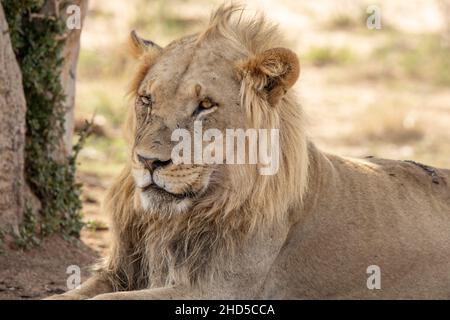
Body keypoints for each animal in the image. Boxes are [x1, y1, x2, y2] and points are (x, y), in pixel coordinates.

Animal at [49, 4, 450, 300]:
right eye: (147, 99)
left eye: (205, 105)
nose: (148, 161)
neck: (171, 220)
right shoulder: (121, 269)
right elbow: (68, 297)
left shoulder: (220, 287)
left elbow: (106, 300)